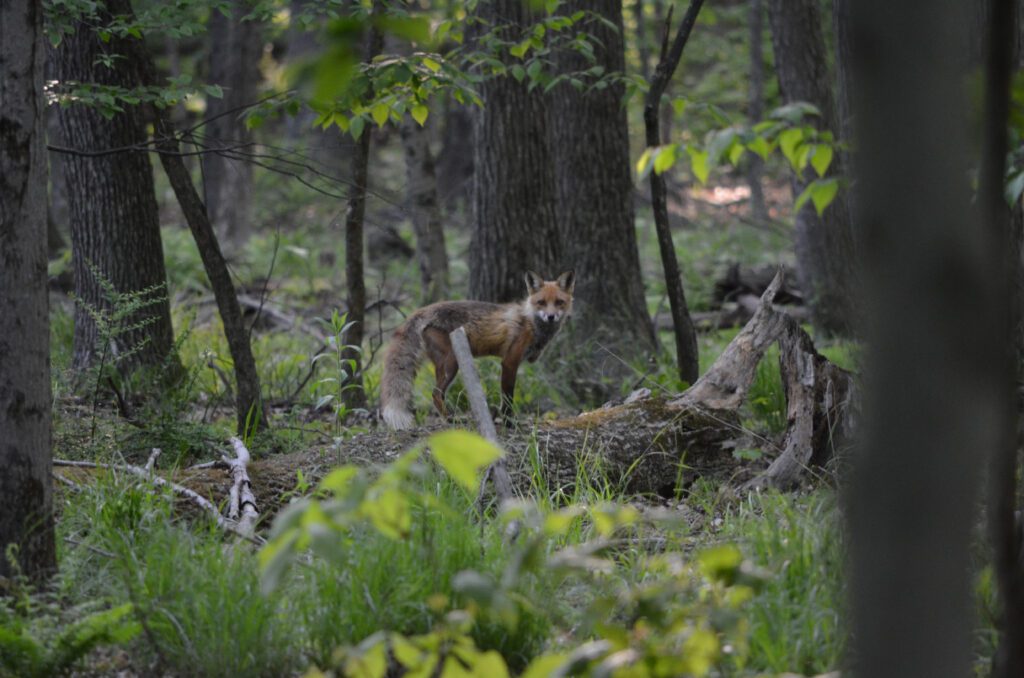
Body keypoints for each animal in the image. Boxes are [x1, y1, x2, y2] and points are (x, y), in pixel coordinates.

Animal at [380, 270, 577, 430]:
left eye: (559, 302)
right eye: (541, 302)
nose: (551, 317)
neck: (531, 323)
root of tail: (423, 309)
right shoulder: (510, 361)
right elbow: (508, 397)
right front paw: (509, 423)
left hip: (443, 364)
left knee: (437, 394)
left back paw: (449, 419)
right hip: (452, 363)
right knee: (435, 394)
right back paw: (452, 420)